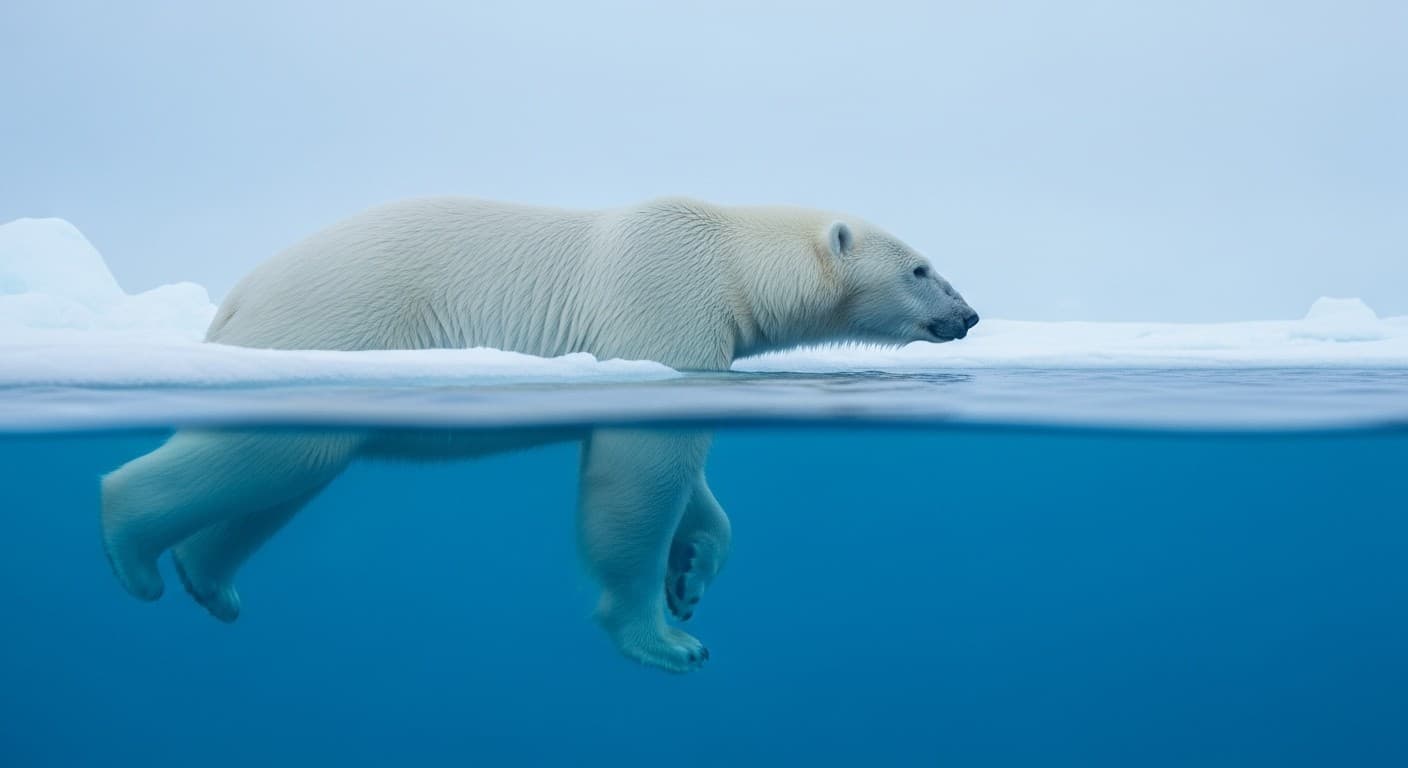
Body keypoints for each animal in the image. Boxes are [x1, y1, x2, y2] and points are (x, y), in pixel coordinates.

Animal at [100, 196, 978, 673]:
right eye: (921, 268)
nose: (968, 315)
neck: (728, 256)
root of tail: (238, 294)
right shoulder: (665, 300)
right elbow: (637, 481)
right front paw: (666, 640)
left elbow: (686, 482)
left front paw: (693, 572)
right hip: (334, 319)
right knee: (275, 453)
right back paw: (131, 548)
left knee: (287, 471)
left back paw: (210, 581)